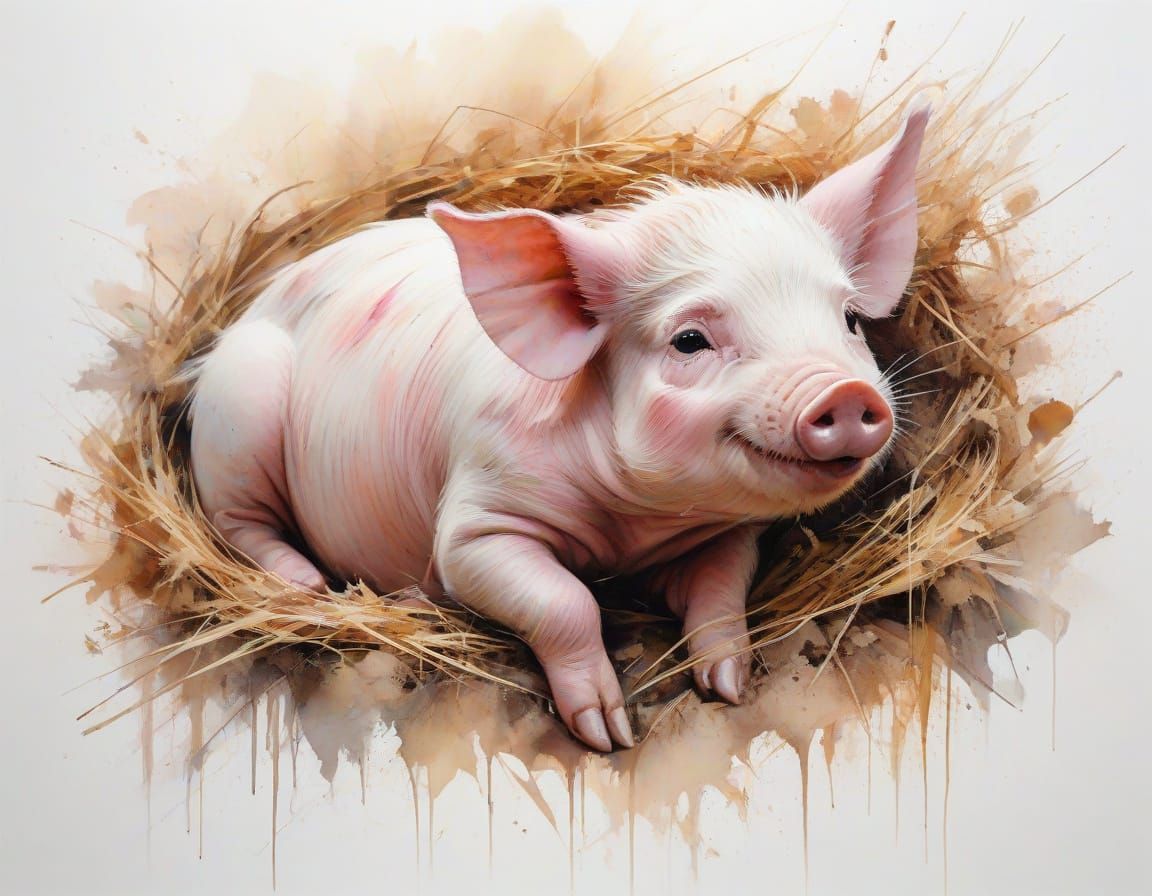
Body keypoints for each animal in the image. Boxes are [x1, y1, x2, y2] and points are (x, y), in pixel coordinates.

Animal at [188, 107, 929, 752]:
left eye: (850, 320)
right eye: (690, 340)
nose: (846, 392)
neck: (630, 530)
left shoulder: (729, 531)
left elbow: (722, 590)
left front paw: (728, 685)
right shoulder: (476, 523)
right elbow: (566, 602)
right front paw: (609, 734)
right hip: (238, 408)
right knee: (238, 522)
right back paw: (310, 585)